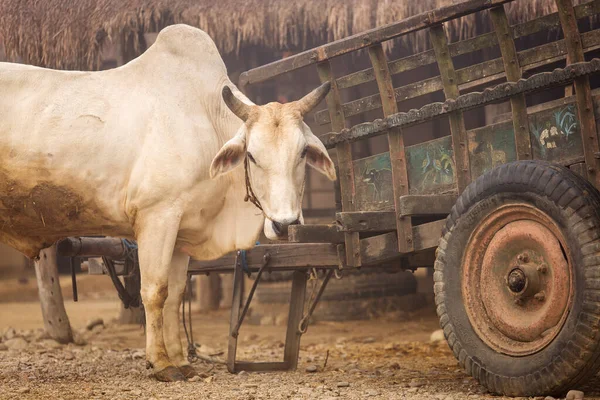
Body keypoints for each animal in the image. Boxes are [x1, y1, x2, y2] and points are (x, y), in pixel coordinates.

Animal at [0, 25, 336, 382]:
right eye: (252, 155)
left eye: (302, 153)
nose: (285, 224)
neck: (206, 119)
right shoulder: (156, 217)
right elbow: (154, 291)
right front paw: (160, 363)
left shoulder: (181, 231)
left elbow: (175, 295)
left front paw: (181, 360)